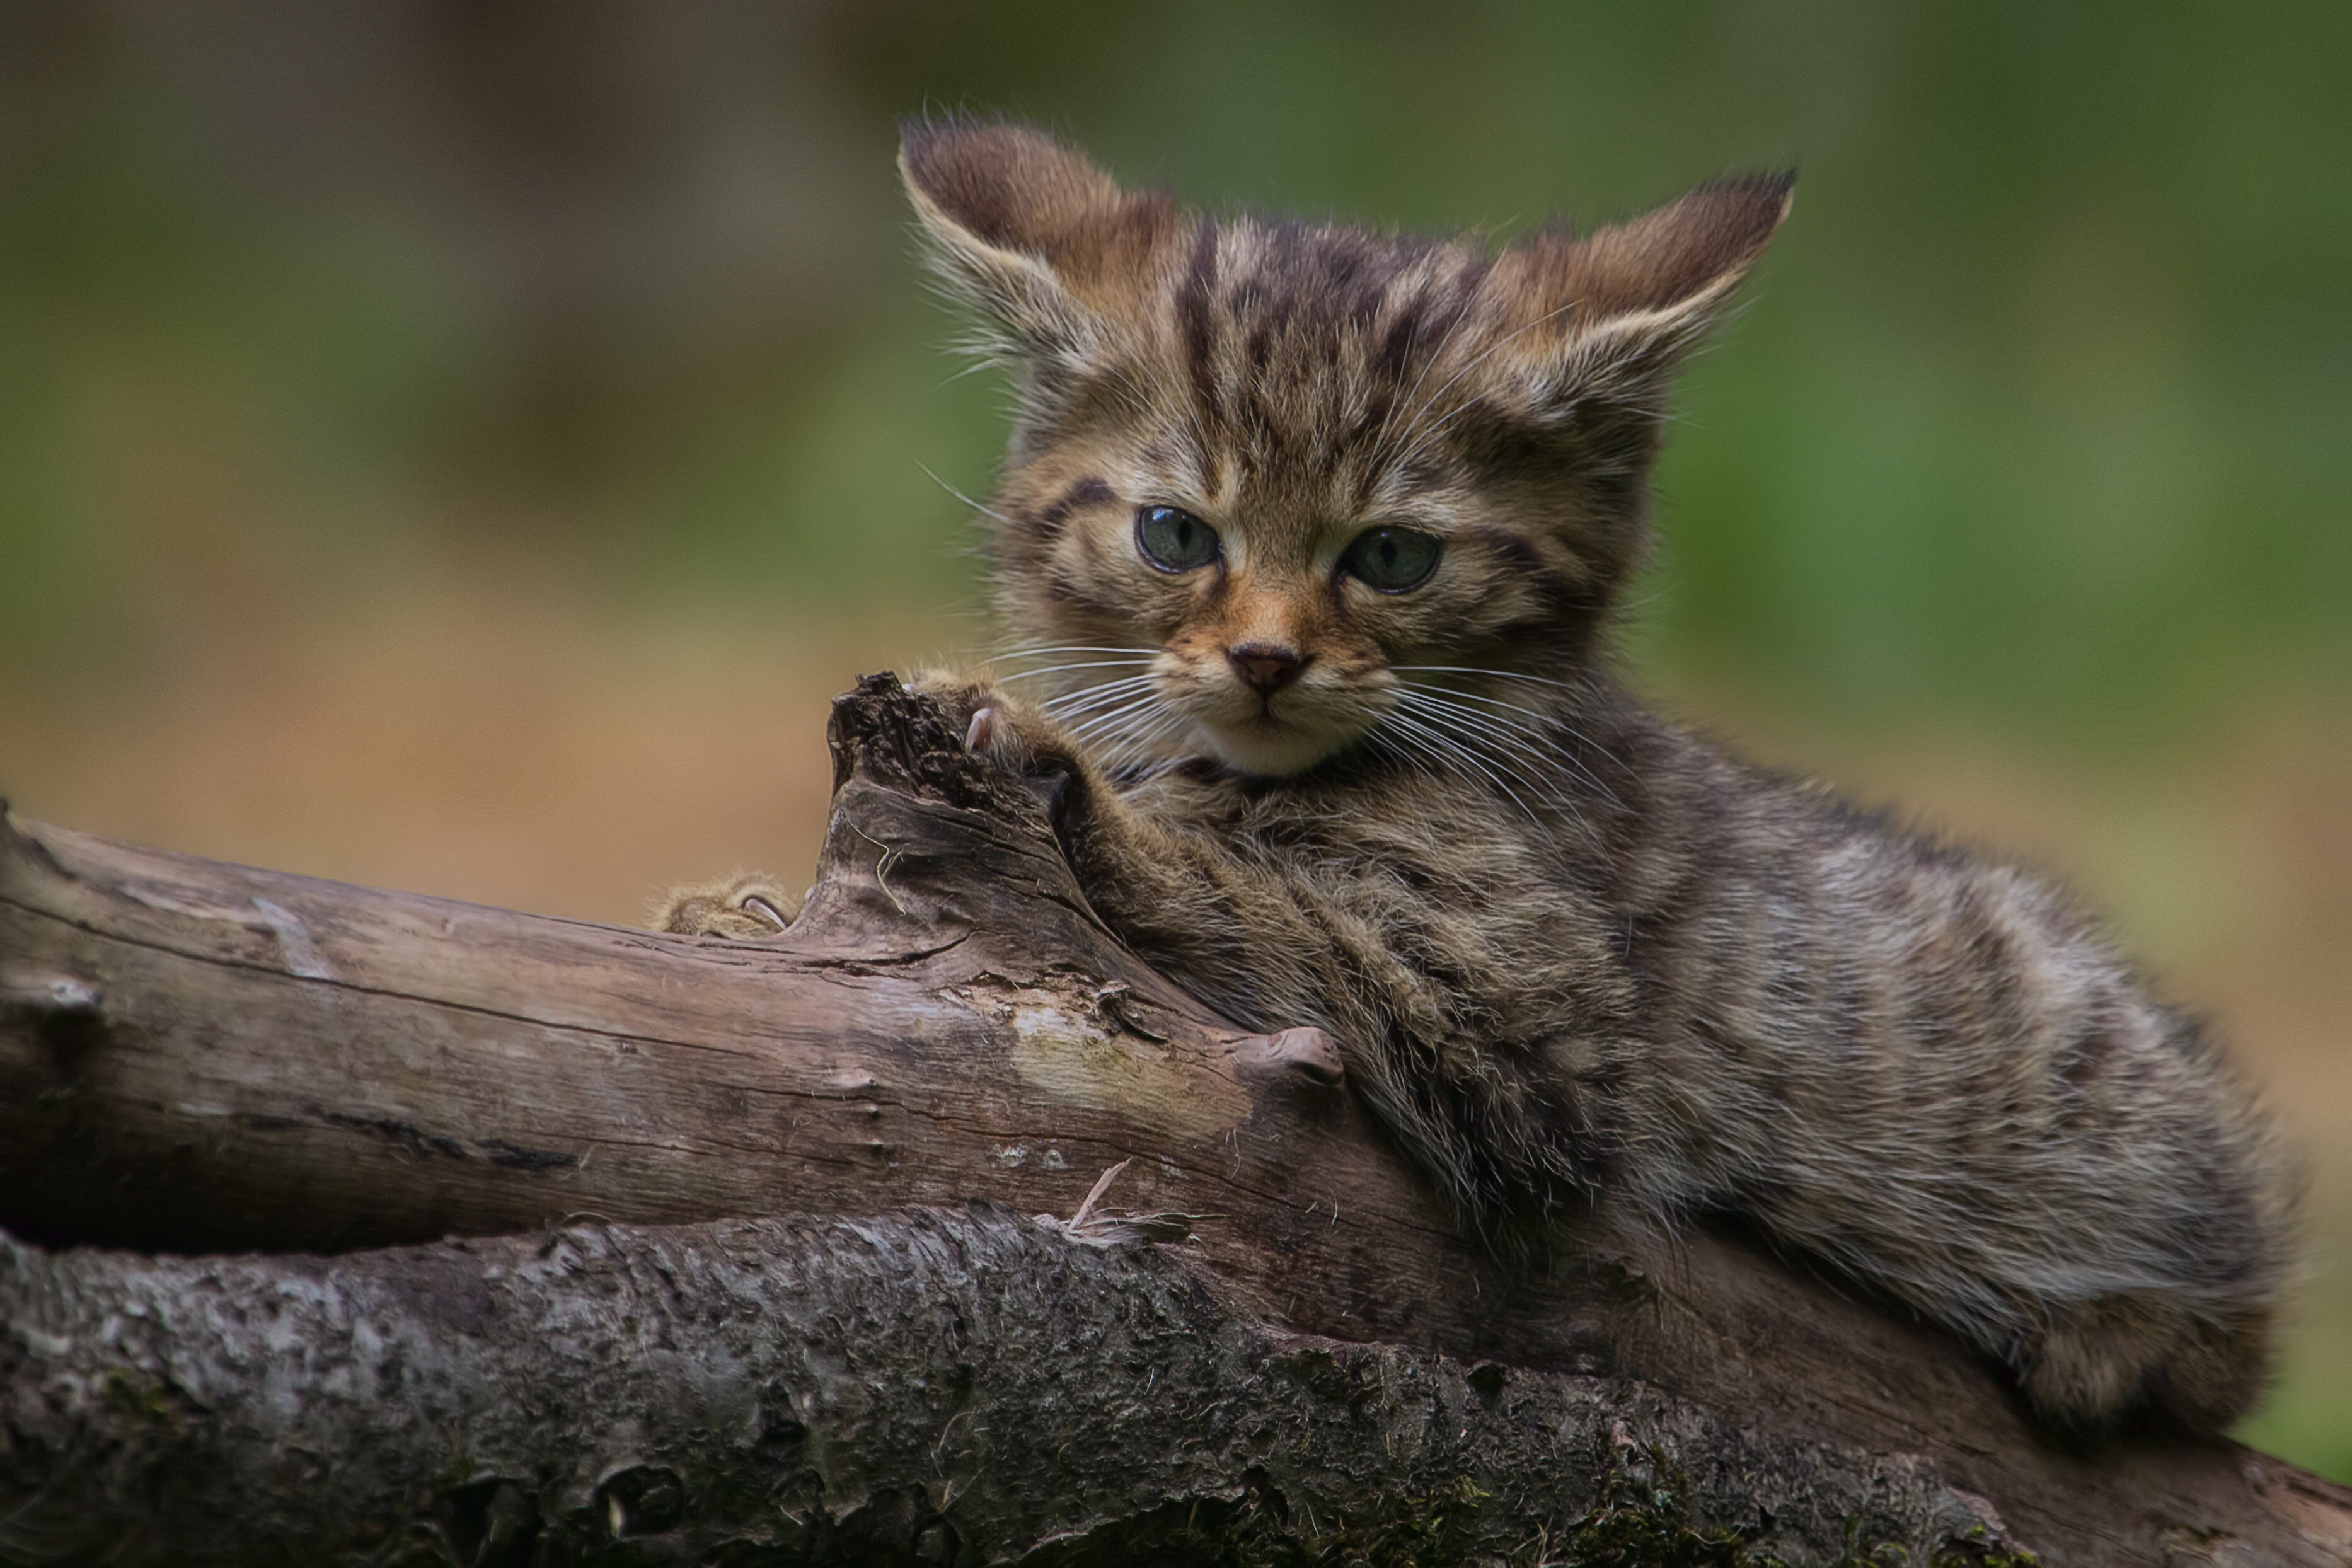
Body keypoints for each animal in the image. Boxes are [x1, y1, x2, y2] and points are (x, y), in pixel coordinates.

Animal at [663, 116, 2295, 1429]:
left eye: (1391, 558)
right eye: (1175, 535)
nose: (1266, 659)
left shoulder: (1536, 1028)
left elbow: (1250, 891)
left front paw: (1071, 774)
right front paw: (739, 908)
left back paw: (2119, 1329)